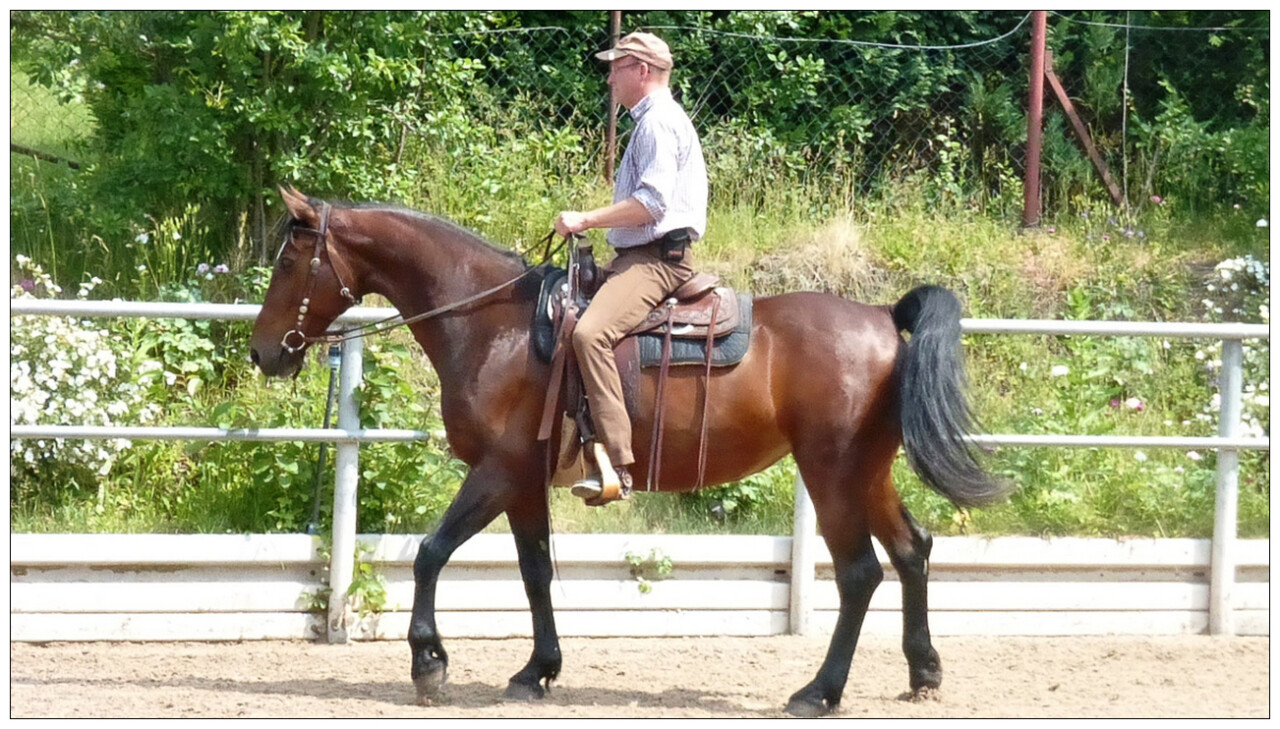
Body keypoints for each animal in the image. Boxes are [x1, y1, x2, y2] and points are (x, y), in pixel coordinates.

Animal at [250, 186, 1009, 717]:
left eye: (288, 259)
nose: (262, 353)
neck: (492, 326)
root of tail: (882, 316)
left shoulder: (495, 472)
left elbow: (432, 552)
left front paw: (428, 663)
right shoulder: (525, 482)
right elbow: (535, 571)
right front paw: (537, 671)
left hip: (832, 475)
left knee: (859, 574)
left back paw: (817, 692)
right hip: (866, 471)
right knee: (912, 550)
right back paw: (923, 672)